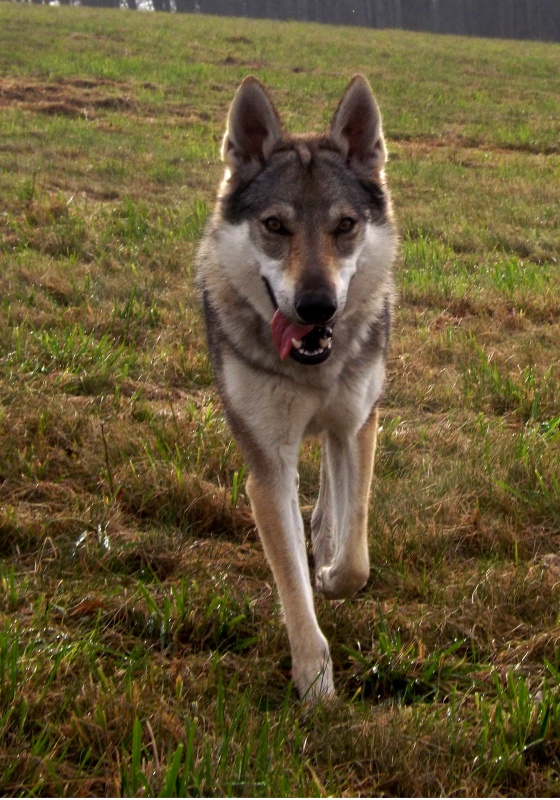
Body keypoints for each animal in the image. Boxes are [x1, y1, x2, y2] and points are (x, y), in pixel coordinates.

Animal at [197, 73, 398, 700]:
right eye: (275, 226)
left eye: (345, 226)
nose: (316, 307)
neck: (312, 367)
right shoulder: (268, 467)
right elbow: (291, 586)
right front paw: (314, 683)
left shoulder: (359, 424)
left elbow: (356, 556)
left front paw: (332, 570)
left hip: (349, 421)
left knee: (336, 486)